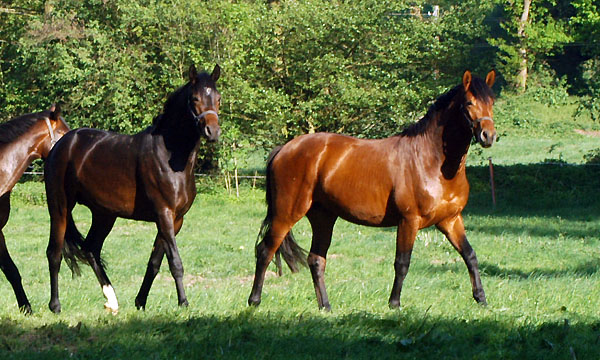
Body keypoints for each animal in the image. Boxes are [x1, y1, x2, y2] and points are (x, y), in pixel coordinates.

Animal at [44, 64, 221, 312]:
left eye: (218, 98)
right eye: (195, 98)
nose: (212, 131)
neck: (170, 156)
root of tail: (60, 145)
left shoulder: (176, 220)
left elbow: (155, 262)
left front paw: (141, 302)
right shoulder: (164, 214)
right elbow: (175, 262)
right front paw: (183, 303)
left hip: (104, 214)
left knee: (90, 249)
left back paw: (111, 300)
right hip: (59, 208)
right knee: (55, 253)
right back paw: (55, 305)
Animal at [248, 69, 496, 310]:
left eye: (492, 101)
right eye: (469, 103)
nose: (488, 135)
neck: (431, 161)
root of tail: (284, 149)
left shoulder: (450, 220)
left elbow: (470, 255)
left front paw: (481, 298)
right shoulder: (409, 221)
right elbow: (402, 262)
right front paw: (394, 304)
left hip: (323, 218)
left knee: (316, 260)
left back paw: (325, 306)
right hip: (286, 214)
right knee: (265, 251)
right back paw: (254, 301)